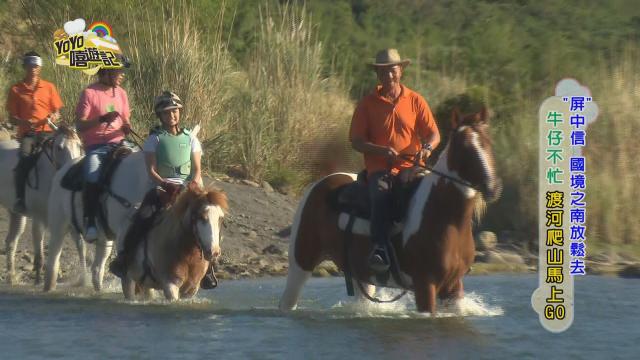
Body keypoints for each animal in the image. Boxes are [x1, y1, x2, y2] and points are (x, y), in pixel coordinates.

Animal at [0, 126, 84, 284]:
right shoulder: (39, 219)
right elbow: (39, 254)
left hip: (16, 214)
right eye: (59, 148)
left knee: (11, 242)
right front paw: (39, 281)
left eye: (79, 145)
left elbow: (79, 246)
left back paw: (11, 277)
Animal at [44, 150, 153, 292]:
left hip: (104, 237)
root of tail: (62, 171)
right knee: (54, 257)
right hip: (59, 226)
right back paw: (49, 286)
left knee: (97, 267)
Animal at [278, 107, 500, 312]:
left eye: (488, 143)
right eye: (464, 147)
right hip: (301, 261)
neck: (445, 218)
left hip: (361, 274)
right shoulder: (425, 285)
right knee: (289, 298)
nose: (493, 188)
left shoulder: (453, 287)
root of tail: (320, 184)